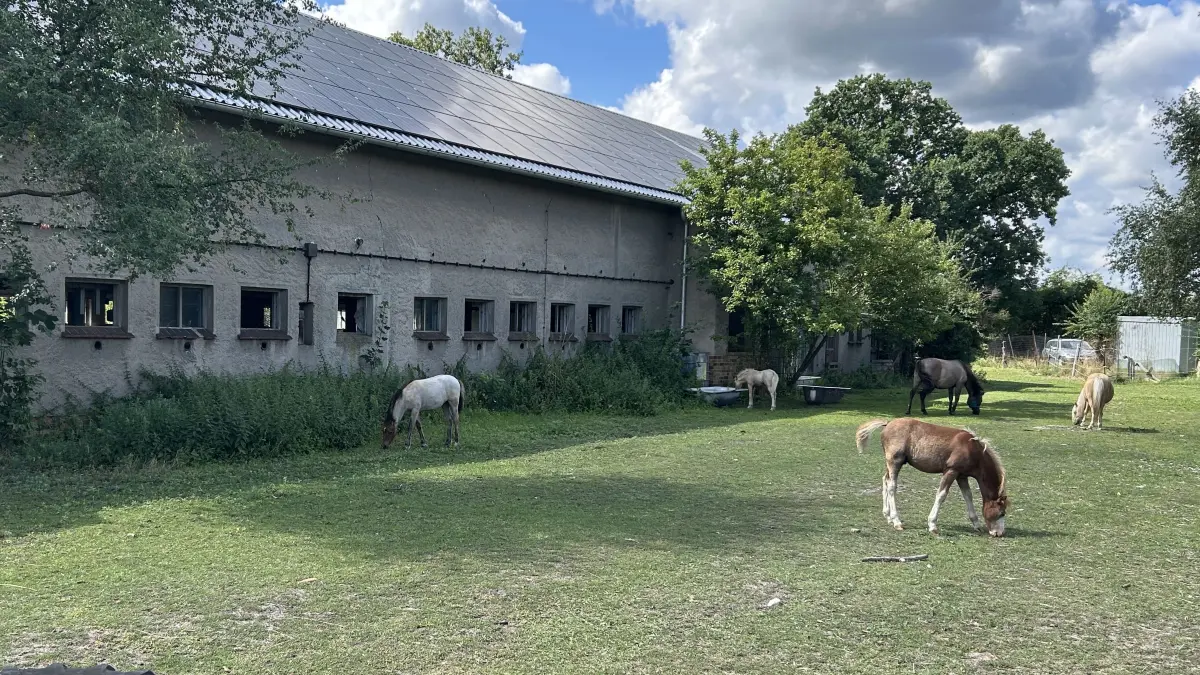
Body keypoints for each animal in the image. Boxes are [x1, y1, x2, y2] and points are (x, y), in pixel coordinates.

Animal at [856, 417, 1008, 537]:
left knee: (885, 480)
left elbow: (968, 496)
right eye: (1002, 513)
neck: (972, 449)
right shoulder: (951, 471)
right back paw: (896, 521)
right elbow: (941, 495)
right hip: (895, 462)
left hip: (890, 464)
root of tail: (888, 424)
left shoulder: (961, 476)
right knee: (892, 486)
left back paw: (888, 516)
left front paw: (976, 524)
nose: (999, 533)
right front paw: (932, 525)